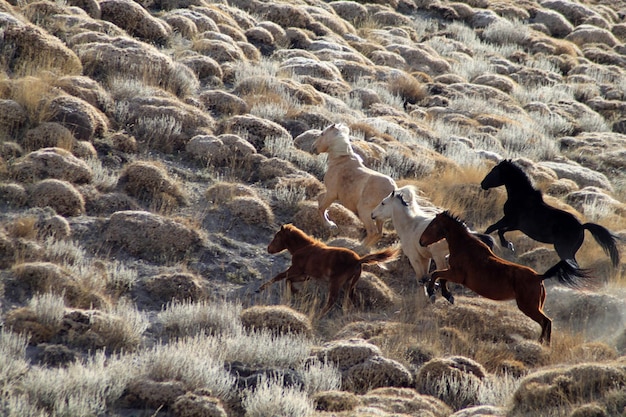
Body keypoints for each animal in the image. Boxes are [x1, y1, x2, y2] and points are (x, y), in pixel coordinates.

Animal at [256, 224, 398, 316]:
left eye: (277, 236)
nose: (268, 249)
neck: (303, 247)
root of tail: (358, 260)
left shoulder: (296, 270)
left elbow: (281, 277)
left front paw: (260, 289)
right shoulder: (304, 275)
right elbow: (288, 280)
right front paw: (297, 293)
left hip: (336, 283)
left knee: (332, 300)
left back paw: (320, 314)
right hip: (350, 284)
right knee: (352, 298)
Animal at [416, 210, 588, 342]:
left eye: (432, 225)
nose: (421, 241)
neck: (464, 246)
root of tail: (539, 277)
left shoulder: (457, 275)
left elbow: (436, 274)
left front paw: (433, 293)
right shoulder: (453, 273)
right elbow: (440, 277)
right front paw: (447, 296)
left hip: (528, 306)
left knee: (546, 322)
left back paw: (541, 344)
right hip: (536, 305)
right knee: (546, 323)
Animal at [480, 158, 616, 268]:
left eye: (494, 170)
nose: (483, 184)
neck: (521, 197)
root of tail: (581, 226)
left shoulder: (509, 220)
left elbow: (493, 229)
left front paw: (492, 242)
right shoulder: (516, 225)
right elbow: (499, 230)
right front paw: (506, 244)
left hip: (563, 249)